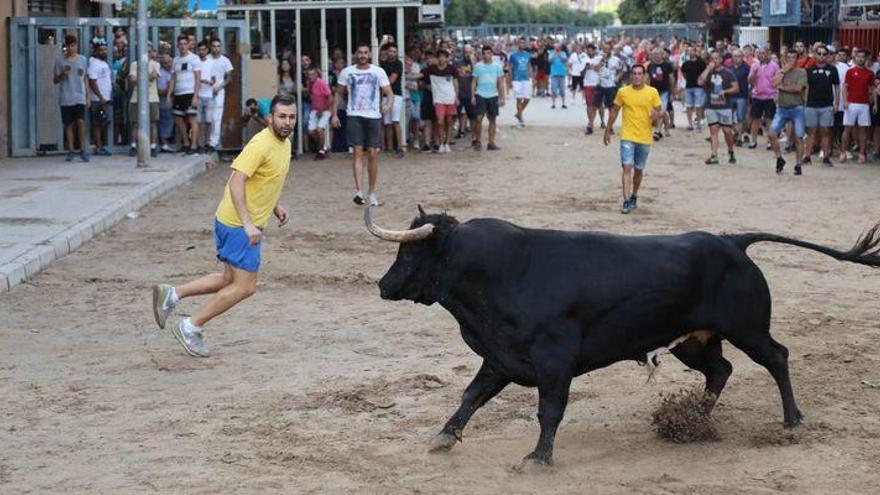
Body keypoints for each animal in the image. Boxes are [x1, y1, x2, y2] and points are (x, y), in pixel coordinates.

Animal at [364, 206, 880, 468]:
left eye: (409, 253)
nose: (384, 286)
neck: (496, 272)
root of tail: (731, 241)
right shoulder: (501, 356)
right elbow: (472, 395)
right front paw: (443, 437)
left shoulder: (554, 359)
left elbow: (549, 409)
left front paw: (538, 458)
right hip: (695, 340)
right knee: (721, 369)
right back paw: (696, 419)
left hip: (748, 328)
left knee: (776, 357)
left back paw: (792, 421)